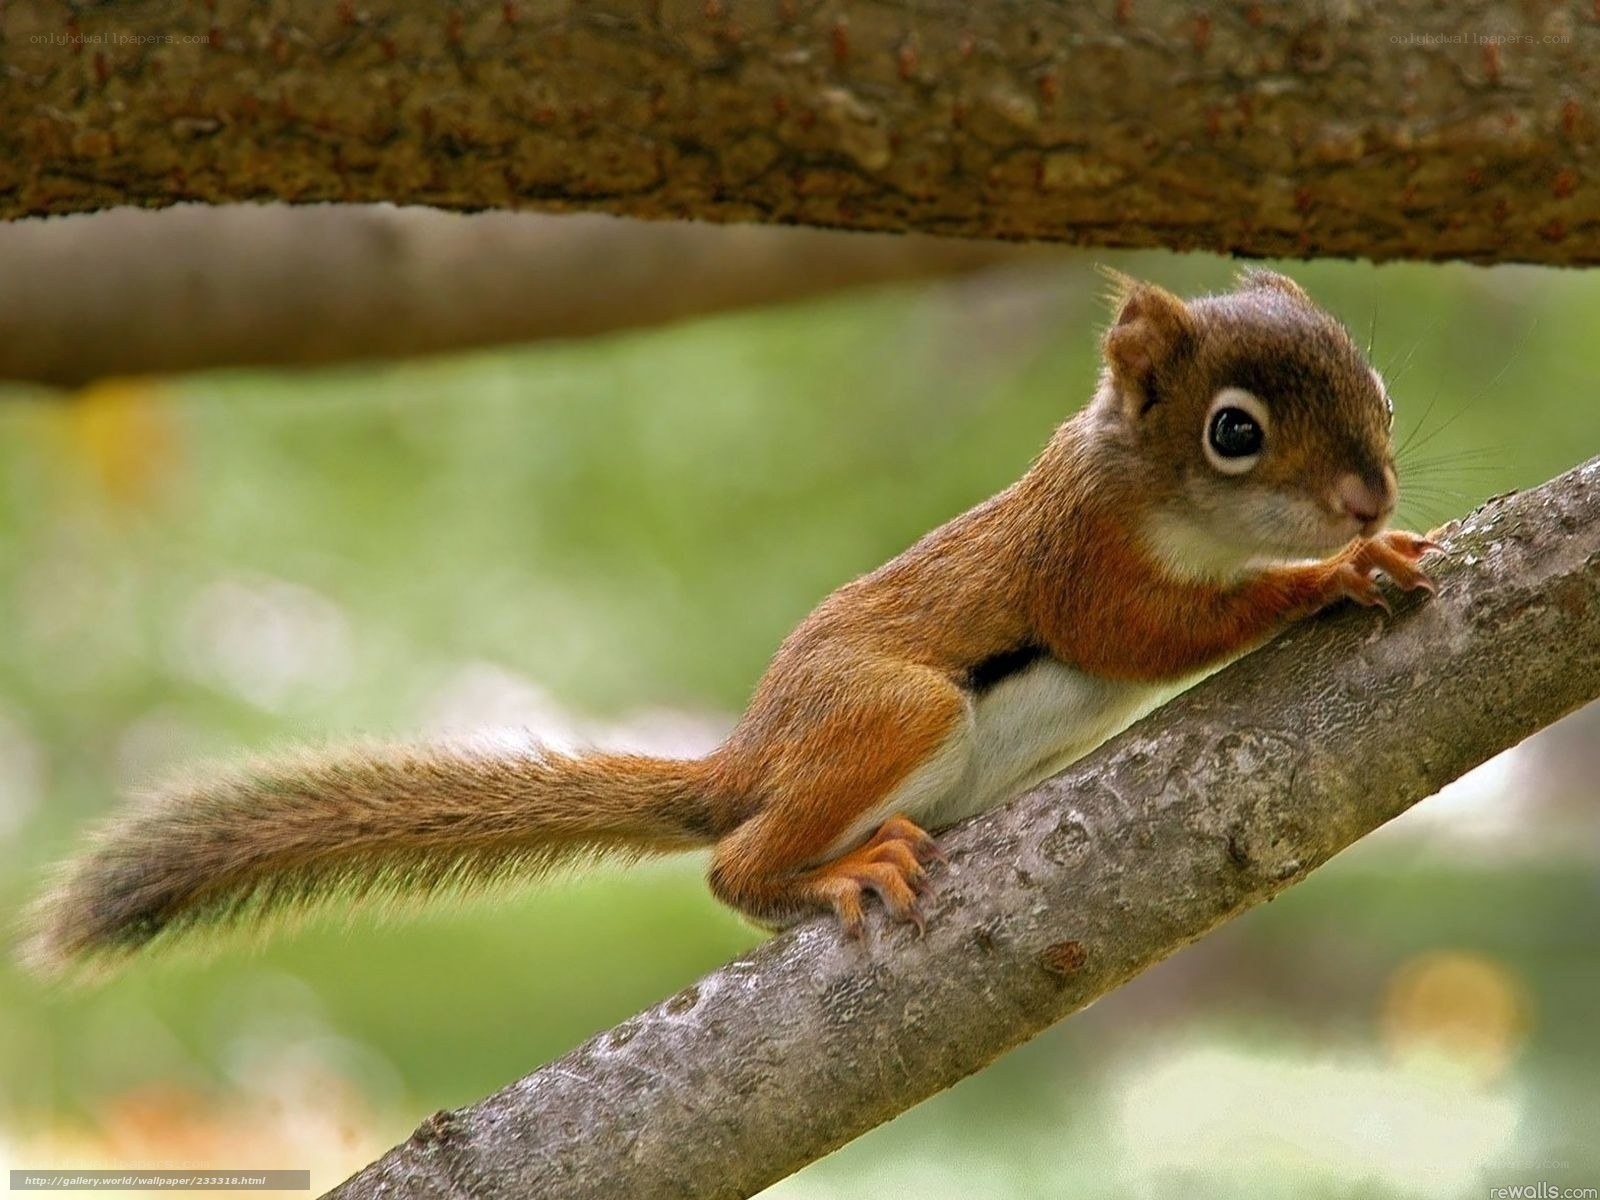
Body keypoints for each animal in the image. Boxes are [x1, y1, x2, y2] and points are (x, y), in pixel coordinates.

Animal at [22, 268, 1437, 975]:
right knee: (731, 868)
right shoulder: (1079, 566)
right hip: (892, 711)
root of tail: (745, 761)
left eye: (1372, 378)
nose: (1369, 491)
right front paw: (1326, 573)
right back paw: (821, 869)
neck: (1142, 486)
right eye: (1233, 433)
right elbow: (1147, 636)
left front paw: (1373, 545)